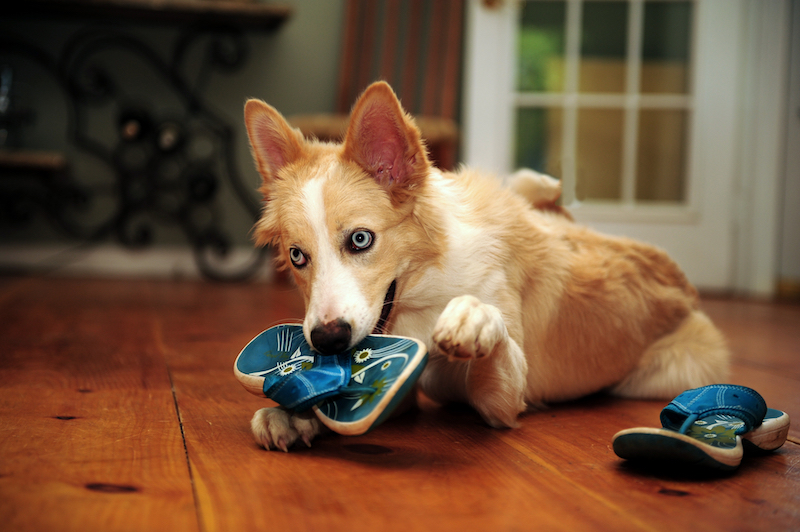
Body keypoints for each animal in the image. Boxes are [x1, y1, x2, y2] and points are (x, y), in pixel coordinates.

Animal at [241, 81, 728, 450]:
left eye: (361, 239)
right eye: (297, 256)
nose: (327, 340)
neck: (428, 285)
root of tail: (682, 283)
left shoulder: (506, 397)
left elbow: (493, 341)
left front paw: (473, 320)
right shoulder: (400, 390)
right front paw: (290, 414)